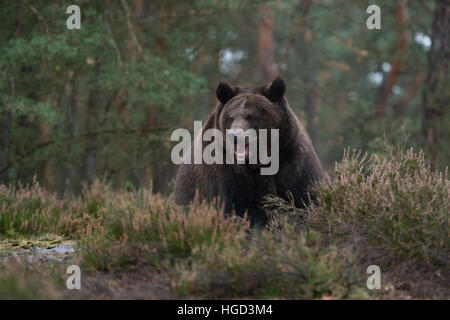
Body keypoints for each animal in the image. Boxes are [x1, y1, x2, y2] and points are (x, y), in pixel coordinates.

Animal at [172, 76, 324, 226]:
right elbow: (240, 210)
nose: (234, 135)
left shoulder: (292, 161)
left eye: (251, 117)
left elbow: (306, 197)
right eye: (230, 118)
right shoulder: (226, 175)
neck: (261, 160)